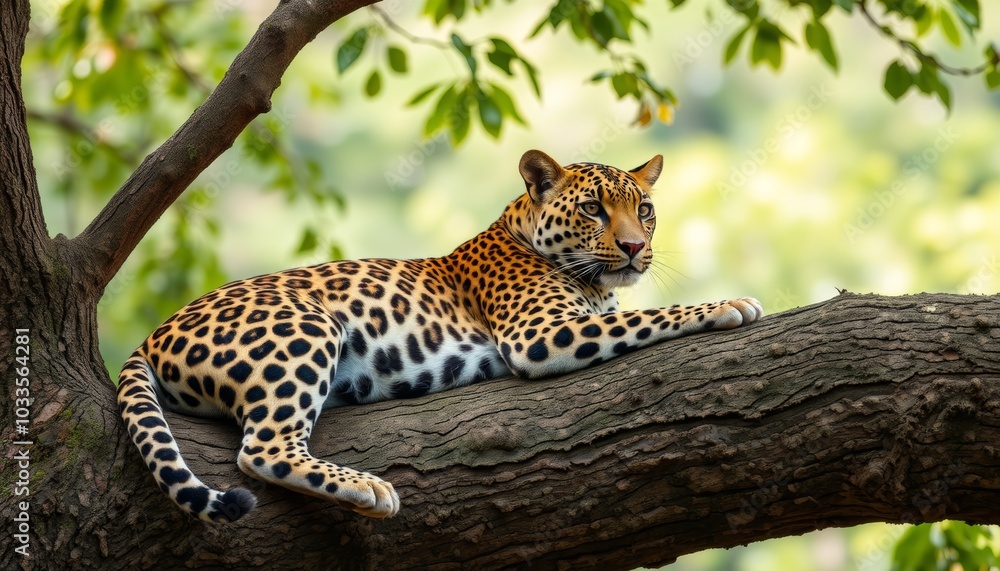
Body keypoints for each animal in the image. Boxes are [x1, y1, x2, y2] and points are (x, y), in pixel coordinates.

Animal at [117, 149, 763, 523]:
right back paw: (368, 489)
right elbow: (651, 315)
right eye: (594, 211)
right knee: (262, 450)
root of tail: (151, 336)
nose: (634, 247)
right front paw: (731, 303)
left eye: (645, 209)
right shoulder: (540, 333)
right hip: (306, 325)